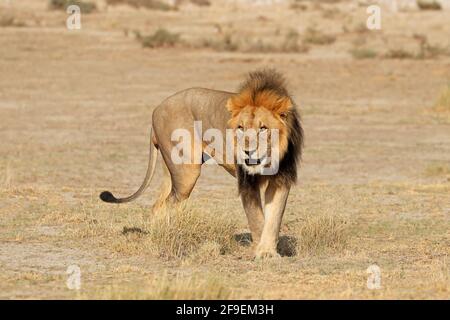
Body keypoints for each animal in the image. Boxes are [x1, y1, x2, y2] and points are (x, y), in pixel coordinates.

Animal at [100, 69, 304, 258]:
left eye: (263, 128)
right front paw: (261, 252)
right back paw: (165, 238)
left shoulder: (281, 180)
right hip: (187, 173)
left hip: (172, 171)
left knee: (157, 205)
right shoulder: (247, 183)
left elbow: (274, 219)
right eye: (240, 128)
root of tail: (156, 109)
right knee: (165, 205)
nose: (247, 151)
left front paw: (268, 252)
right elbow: (258, 220)